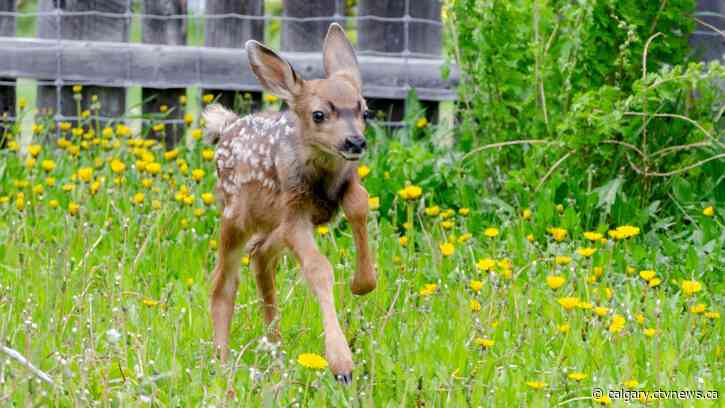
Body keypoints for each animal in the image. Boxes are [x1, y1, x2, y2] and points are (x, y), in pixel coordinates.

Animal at [202, 23, 376, 384]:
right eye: (319, 114)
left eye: (365, 110)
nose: (355, 142)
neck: (321, 181)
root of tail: (224, 126)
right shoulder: (294, 212)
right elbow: (319, 269)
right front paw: (341, 364)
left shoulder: (341, 190)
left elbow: (360, 203)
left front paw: (362, 283)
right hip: (235, 216)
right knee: (223, 283)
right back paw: (223, 365)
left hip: (270, 226)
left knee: (260, 258)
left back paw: (275, 351)